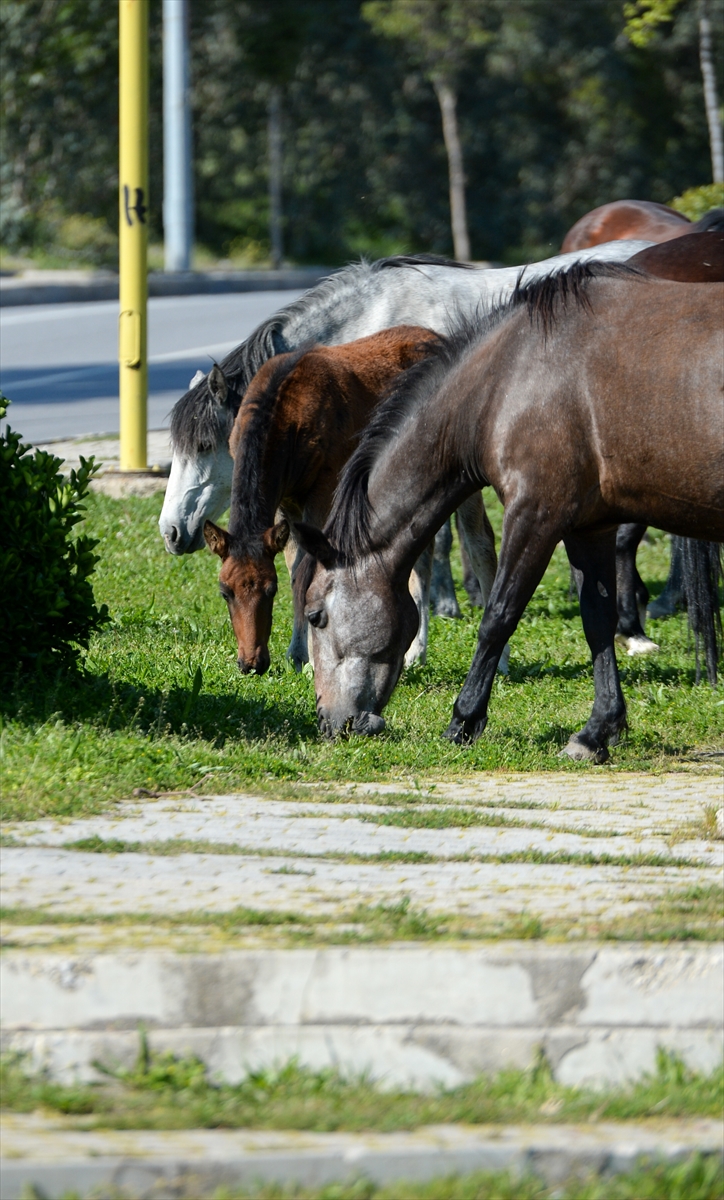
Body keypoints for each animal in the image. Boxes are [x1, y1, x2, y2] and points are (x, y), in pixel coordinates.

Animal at [202, 326, 499, 676]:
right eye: (225, 591)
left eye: (269, 589)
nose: (251, 662)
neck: (285, 425)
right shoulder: (285, 501)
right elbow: (293, 568)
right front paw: (297, 651)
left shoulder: (323, 487)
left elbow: (304, 570)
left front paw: (307, 657)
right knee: (421, 555)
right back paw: (416, 652)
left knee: (480, 541)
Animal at [296, 267, 724, 763]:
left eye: (315, 615)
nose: (329, 722)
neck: (505, 380)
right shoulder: (589, 528)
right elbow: (597, 621)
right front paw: (596, 731)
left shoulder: (534, 516)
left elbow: (497, 617)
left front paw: (463, 721)